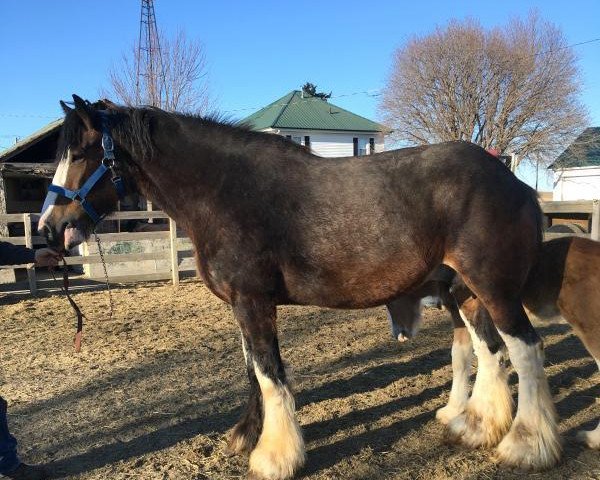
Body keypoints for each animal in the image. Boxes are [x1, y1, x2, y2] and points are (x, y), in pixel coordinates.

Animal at [390, 238, 600, 452]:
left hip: (589, 328)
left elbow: (464, 359)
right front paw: (458, 410)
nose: (400, 335)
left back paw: (592, 438)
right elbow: (464, 358)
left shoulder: (463, 315)